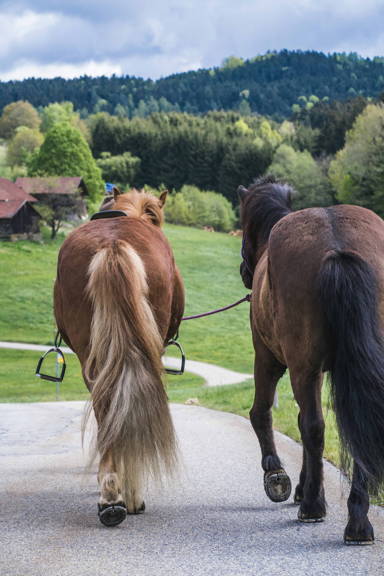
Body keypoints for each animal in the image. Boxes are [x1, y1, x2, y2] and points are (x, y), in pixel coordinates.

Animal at [240, 176, 384, 544]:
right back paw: (357, 520)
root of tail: (336, 246)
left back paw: (314, 507)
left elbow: (263, 413)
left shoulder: (270, 359)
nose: (245, 271)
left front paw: (279, 476)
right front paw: (304, 486)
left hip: (299, 367)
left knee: (314, 427)